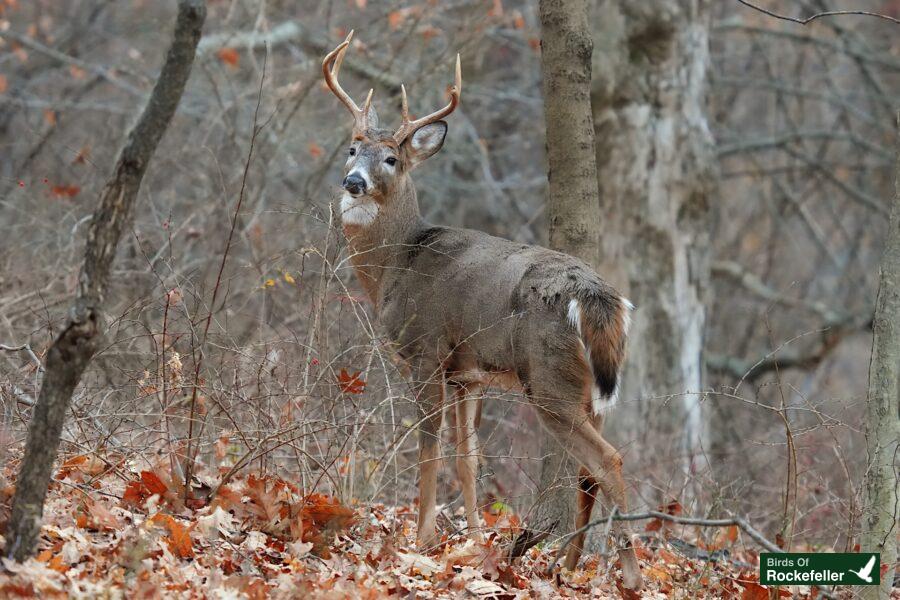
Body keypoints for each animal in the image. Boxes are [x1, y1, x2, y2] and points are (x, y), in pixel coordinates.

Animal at [320, 32, 644, 592]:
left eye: (392, 159)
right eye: (353, 148)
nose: (353, 181)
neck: (395, 265)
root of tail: (597, 296)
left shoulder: (426, 352)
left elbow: (429, 448)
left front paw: (422, 538)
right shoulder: (467, 374)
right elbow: (467, 457)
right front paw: (472, 542)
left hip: (549, 379)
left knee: (607, 460)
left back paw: (626, 572)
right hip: (590, 387)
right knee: (587, 471)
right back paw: (568, 565)